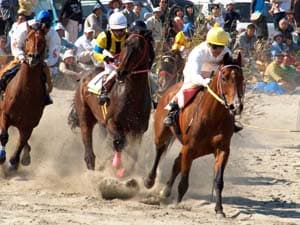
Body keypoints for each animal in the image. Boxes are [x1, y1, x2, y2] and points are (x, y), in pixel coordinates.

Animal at [0, 25, 46, 169]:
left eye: (42, 40)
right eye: (26, 39)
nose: (33, 57)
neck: (25, 93)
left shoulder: (29, 125)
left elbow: (22, 141)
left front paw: (14, 161)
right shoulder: (4, 114)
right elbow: (4, 135)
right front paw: (2, 156)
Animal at [69, 32, 151, 177]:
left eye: (140, 48)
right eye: (125, 44)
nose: (121, 72)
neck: (132, 97)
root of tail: (83, 76)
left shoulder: (139, 130)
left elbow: (133, 152)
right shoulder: (111, 122)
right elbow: (120, 142)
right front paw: (117, 166)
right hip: (85, 116)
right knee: (88, 144)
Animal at [144, 51, 245, 217]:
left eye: (241, 78)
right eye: (224, 78)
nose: (236, 106)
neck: (212, 117)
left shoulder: (222, 150)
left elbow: (218, 181)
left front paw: (219, 209)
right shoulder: (189, 148)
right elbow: (184, 182)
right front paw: (177, 204)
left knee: (176, 162)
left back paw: (165, 191)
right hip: (163, 133)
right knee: (159, 151)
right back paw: (150, 181)